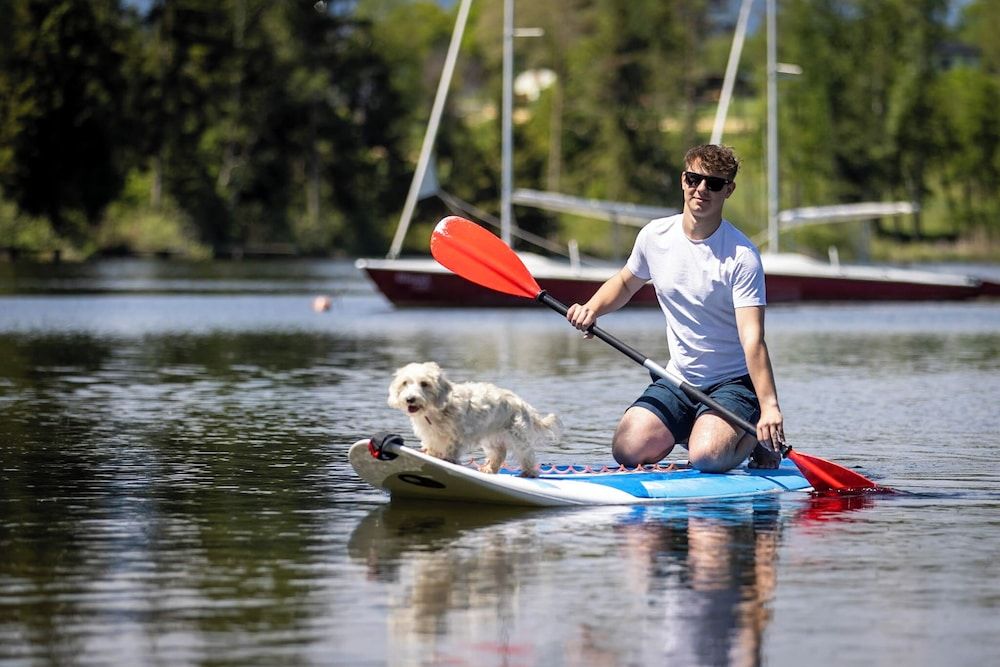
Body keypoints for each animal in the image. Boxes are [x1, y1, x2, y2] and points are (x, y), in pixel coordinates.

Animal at [387, 362, 561, 477]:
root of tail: (524, 404)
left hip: (518, 437)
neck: (436, 411)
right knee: (499, 454)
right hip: (491, 438)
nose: (410, 399)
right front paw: (430, 455)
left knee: (527, 454)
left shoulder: (456, 436)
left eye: (424, 383)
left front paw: (448, 460)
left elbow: (451, 450)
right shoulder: (430, 436)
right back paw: (489, 469)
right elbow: (432, 448)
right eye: (405, 383)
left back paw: (529, 473)